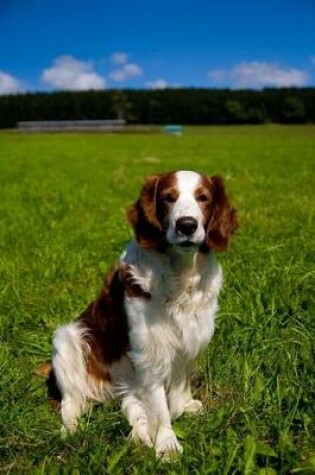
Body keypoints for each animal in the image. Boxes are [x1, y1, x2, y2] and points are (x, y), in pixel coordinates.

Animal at [51, 171, 238, 462]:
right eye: (168, 198)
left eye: (204, 198)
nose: (187, 225)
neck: (180, 275)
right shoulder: (151, 352)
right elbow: (159, 408)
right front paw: (167, 444)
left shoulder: (189, 339)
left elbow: (179, 386)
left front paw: (183, 407)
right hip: (66, 339)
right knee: (71, 402)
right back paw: (72, 430)